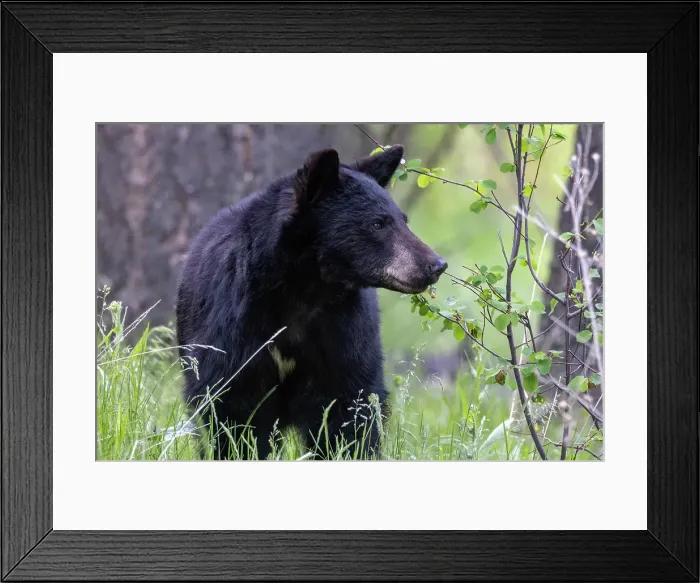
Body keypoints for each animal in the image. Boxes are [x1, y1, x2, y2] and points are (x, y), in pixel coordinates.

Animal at [176, 145, 448, 460]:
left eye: (404, 220)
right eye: (378, 223)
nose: (436, 265)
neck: (304, 289)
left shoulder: (344, 328)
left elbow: (348, 406)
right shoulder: (232, 323)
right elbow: (233, 407)